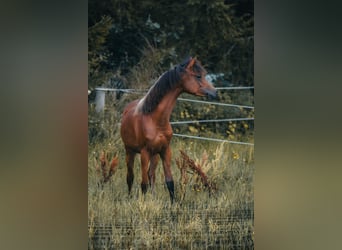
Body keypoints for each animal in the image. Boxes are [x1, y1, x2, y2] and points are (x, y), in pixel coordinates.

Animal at [120, 56, 216, 203]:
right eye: (198, 76)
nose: (215, 92)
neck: (155, 119)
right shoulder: (144, 153)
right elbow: (143, 184)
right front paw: (143, 204)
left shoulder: (165, 150)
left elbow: (169, 182)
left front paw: (173, 205)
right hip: (130, 151)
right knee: (130, 177)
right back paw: (130, 198)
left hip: (154, 155)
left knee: (151, 174)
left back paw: (153, 197)